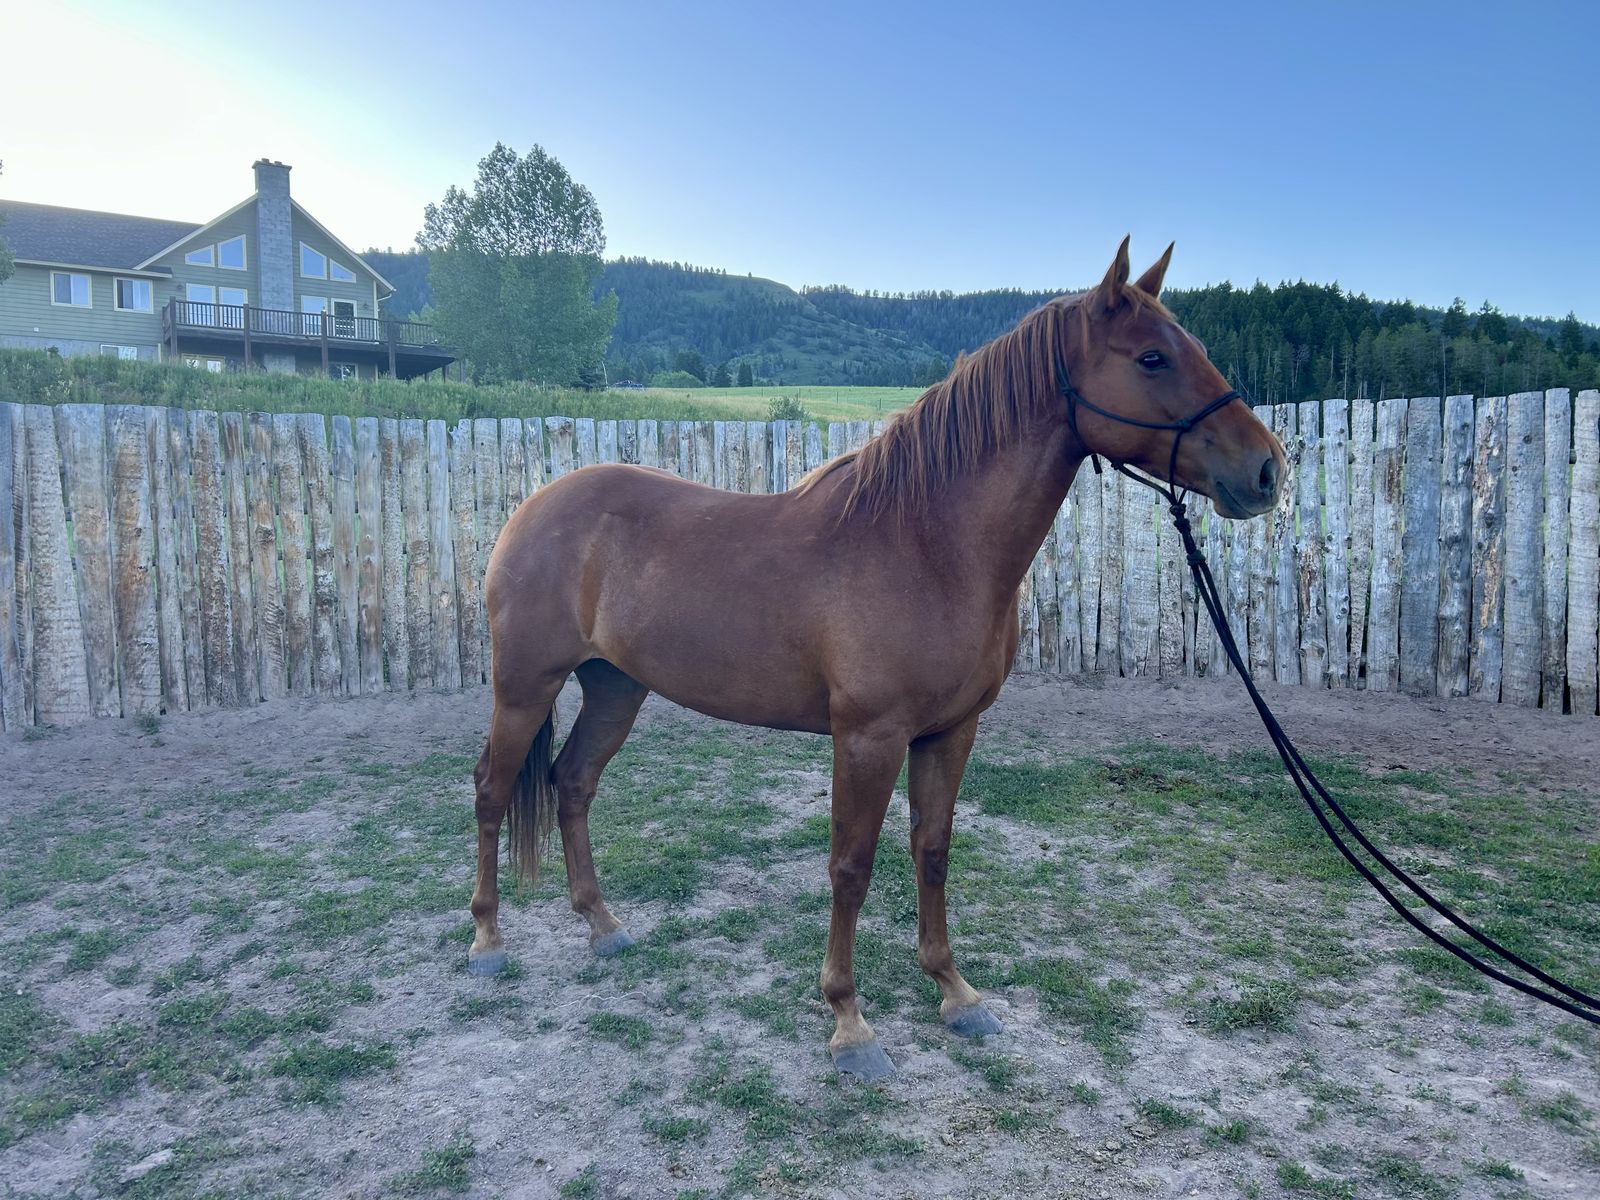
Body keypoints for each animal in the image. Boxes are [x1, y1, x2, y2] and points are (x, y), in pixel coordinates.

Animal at [467, 238, 1286, 1081]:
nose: (1268, 470)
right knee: (493, 790)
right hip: (526, 687)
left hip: (615, 688)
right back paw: (487, 939)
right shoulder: (868, 737)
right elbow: (851, 866)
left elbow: (932, 851)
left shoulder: (950, 732)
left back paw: (602, 925)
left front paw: (955, 992)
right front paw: (849, 1021)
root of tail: (532, 509)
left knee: (571, 784)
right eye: (1152, 357)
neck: (929, 544)